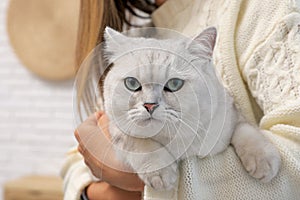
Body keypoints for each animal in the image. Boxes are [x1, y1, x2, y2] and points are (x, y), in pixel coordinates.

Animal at [101, 26, 282, 191]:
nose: (149, 105)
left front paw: (263, 159)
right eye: (131, 83)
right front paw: (161, 172)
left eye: (174, 84)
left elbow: (245, 130)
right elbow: (138, 142)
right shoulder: (114, 128)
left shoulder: (231, 113)